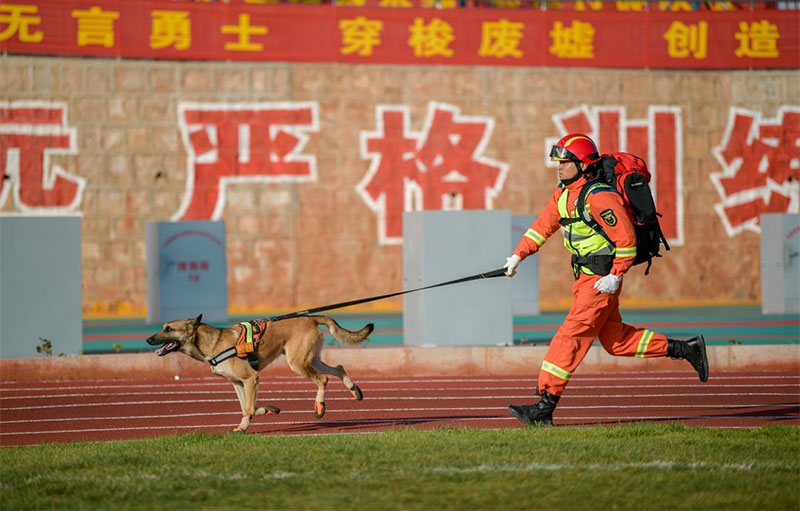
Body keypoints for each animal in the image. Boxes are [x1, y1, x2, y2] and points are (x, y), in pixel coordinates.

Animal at [146, 314, 376, 434]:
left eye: (168, 329)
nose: (148, 339)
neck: (213, 342)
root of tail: (310, 318)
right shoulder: (238, 384)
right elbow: (246, 407)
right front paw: (259, 416)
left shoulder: (251, 379)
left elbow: (249, 407)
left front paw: (255, 418)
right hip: (311, 360)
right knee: (338, 368)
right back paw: (353, 389)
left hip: (298, 364)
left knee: (324, 379)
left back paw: (320, 406)